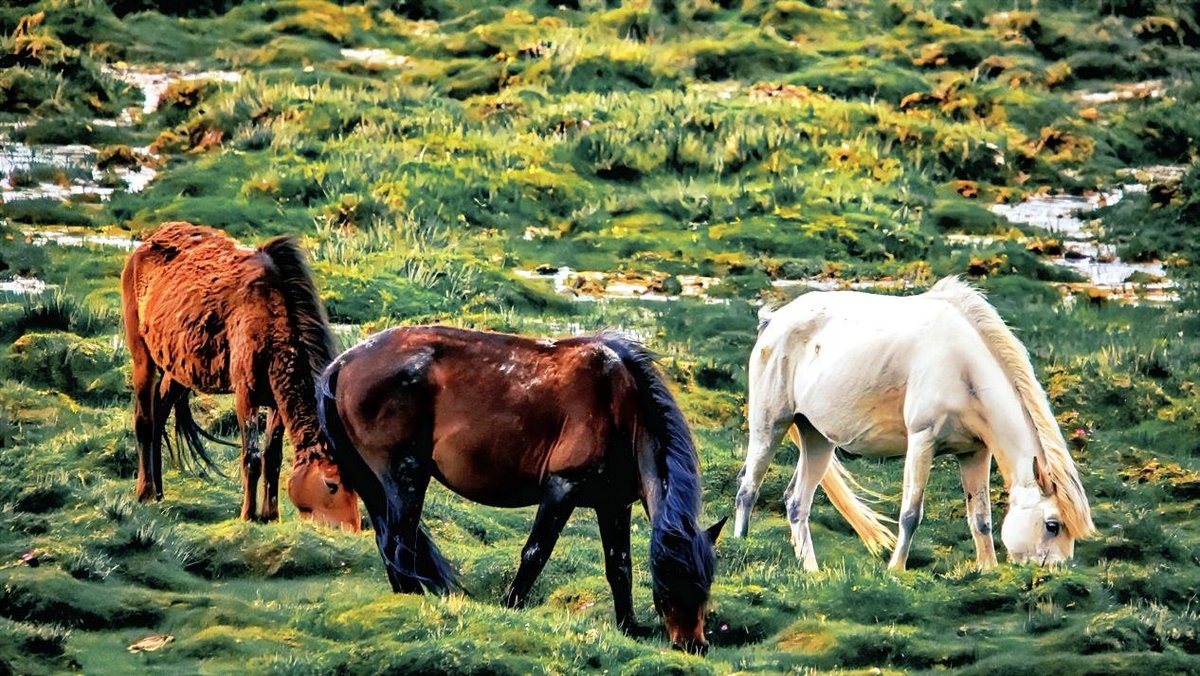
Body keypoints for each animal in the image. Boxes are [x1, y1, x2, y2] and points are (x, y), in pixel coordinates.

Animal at [125, 219, 364, 530]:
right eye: (331, 484)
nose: (352, 530)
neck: (272, 321)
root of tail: (145, 244)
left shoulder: (276, 402)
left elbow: (272, 457)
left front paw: (270, 514)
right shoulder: (246, 396)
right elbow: (251, 457)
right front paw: (248, 514)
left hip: (178, 369)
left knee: (159, 413)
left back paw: (159, 492)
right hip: (143, 356)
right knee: (144, 420)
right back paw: (144, 492)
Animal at [316, 328, 720, 657]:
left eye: (705, 583)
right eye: (668, 587)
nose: (693, 645)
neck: (620, 402)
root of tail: (344, 363)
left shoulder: (613, 504)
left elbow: (619, 565)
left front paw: (628, 627)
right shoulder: (562, 487)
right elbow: (535, 554)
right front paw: (510, 606)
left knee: (389, 540)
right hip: (405, 474)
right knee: (399, 542)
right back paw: (412, 601)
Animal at [729, 276, 1099, 571]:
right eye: (1052, 525)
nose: (1056, 572)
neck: (963, 366)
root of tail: (773, 322)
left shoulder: (975, 453)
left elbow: (980, 519)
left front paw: (987, 569)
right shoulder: (922, 441)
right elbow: (910, 514)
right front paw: (895, 569)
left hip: (817, 437)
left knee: (796, 503)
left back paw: (812, 570)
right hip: (769, 425)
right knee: (748, 487)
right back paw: (740, 546)